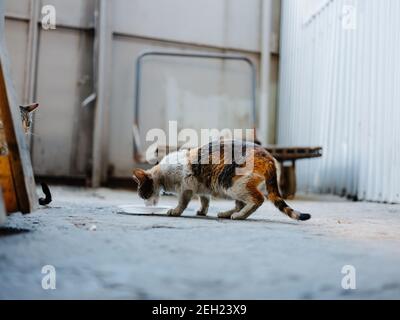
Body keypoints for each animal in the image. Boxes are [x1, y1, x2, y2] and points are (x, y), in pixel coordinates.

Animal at [133, 140, 310, 222]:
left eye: (142, 193)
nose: (145, 204)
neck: (163, 173)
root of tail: (269, 157)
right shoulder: (201, 187)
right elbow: (205, 200)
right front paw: (202, 211)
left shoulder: (186, 187)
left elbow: (182, 202)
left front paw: (175, 211)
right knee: (241, 203)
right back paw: (227, 213)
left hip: (232, 184)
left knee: (257, 199)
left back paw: (239, 216)